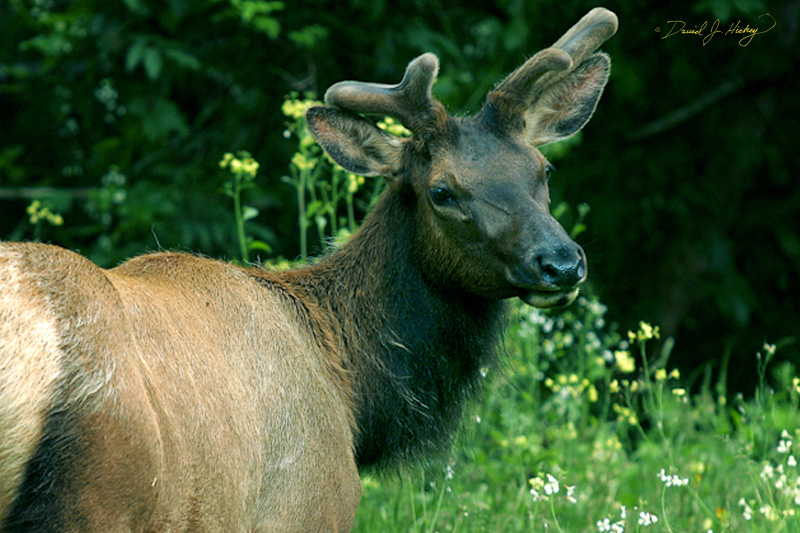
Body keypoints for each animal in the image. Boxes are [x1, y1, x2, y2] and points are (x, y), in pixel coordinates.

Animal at [0, 8, 617, 532]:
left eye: (543, 169)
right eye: (442, 191)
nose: (560, 263)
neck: (354, 398)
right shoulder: (307, 503)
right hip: (99, 490)